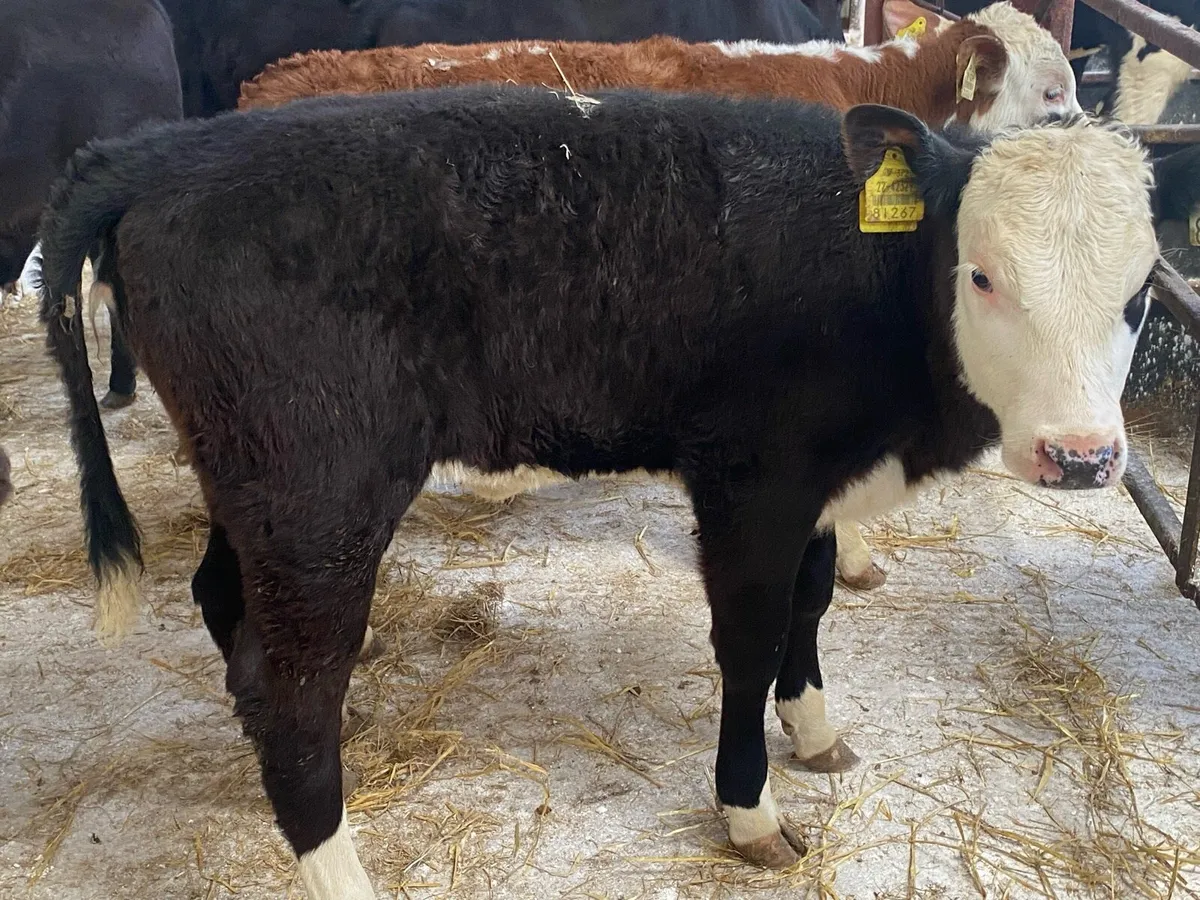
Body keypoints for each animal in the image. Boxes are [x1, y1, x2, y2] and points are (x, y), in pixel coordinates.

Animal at [40, 86, 1161, 895]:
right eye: (982, 274)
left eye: (1143, 290)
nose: (1081, 456)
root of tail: (160, 150)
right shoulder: (751, 485)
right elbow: (751, 642)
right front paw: (750, 811)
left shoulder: (816, 489)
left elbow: (811, 608)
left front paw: (816, 732)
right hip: (322, 492)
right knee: (292, 686)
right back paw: (340, 862)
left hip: (260, 485)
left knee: (228, 610)